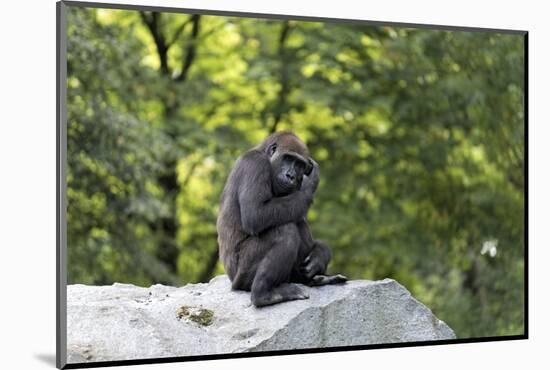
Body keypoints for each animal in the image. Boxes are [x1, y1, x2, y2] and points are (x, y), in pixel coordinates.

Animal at [218, 130, 348, 306]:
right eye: (288, 158)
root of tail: (232, 282)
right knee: (285, 230)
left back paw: (312, 279)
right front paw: (309, 183)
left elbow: (294, 209)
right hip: (241, 277)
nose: (291, 176)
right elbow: (256, 214)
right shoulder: (254, 164)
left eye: (299, 165)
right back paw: (263, 294)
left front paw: (320, 254)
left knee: (296, 222)